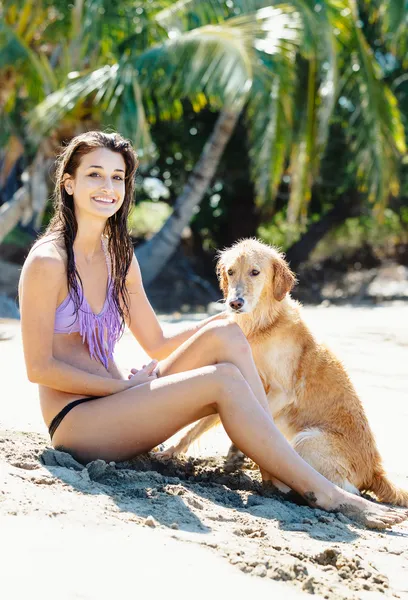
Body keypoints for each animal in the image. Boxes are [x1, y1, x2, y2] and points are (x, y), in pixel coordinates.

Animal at [165, 239, 408, 506]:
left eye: (255, 272)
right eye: (230, 271)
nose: (235, 303)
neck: (262, 325)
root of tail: (375, 471)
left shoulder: (282, 391)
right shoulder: (232, 380)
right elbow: (197, 426)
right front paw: (170, 452)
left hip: (307, 439)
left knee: (335, 486)